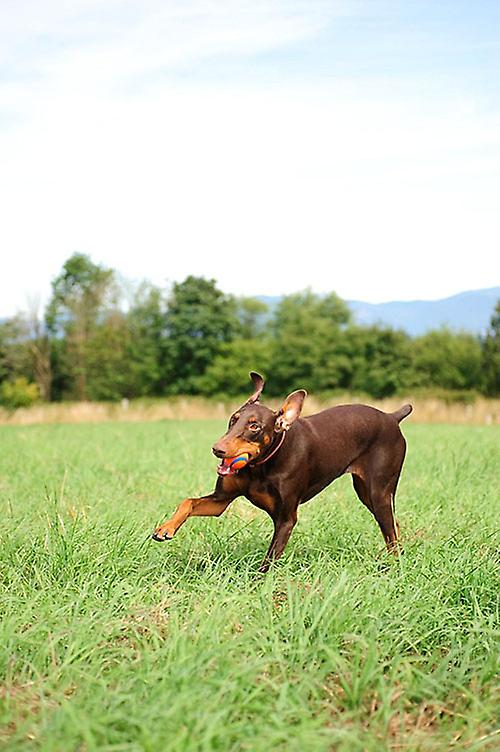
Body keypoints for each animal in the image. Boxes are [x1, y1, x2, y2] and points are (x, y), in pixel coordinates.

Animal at [152, 374, 410, 572]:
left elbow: (269, 559)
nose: (218, 449)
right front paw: (165, 528)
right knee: (394, 526)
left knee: (390, 532)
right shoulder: (220, 501)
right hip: (366, 492)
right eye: (233, 419)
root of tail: (391, 417)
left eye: (254, 426)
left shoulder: (286, 519)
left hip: (379, 492)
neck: (260, 467)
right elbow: (188, 502)